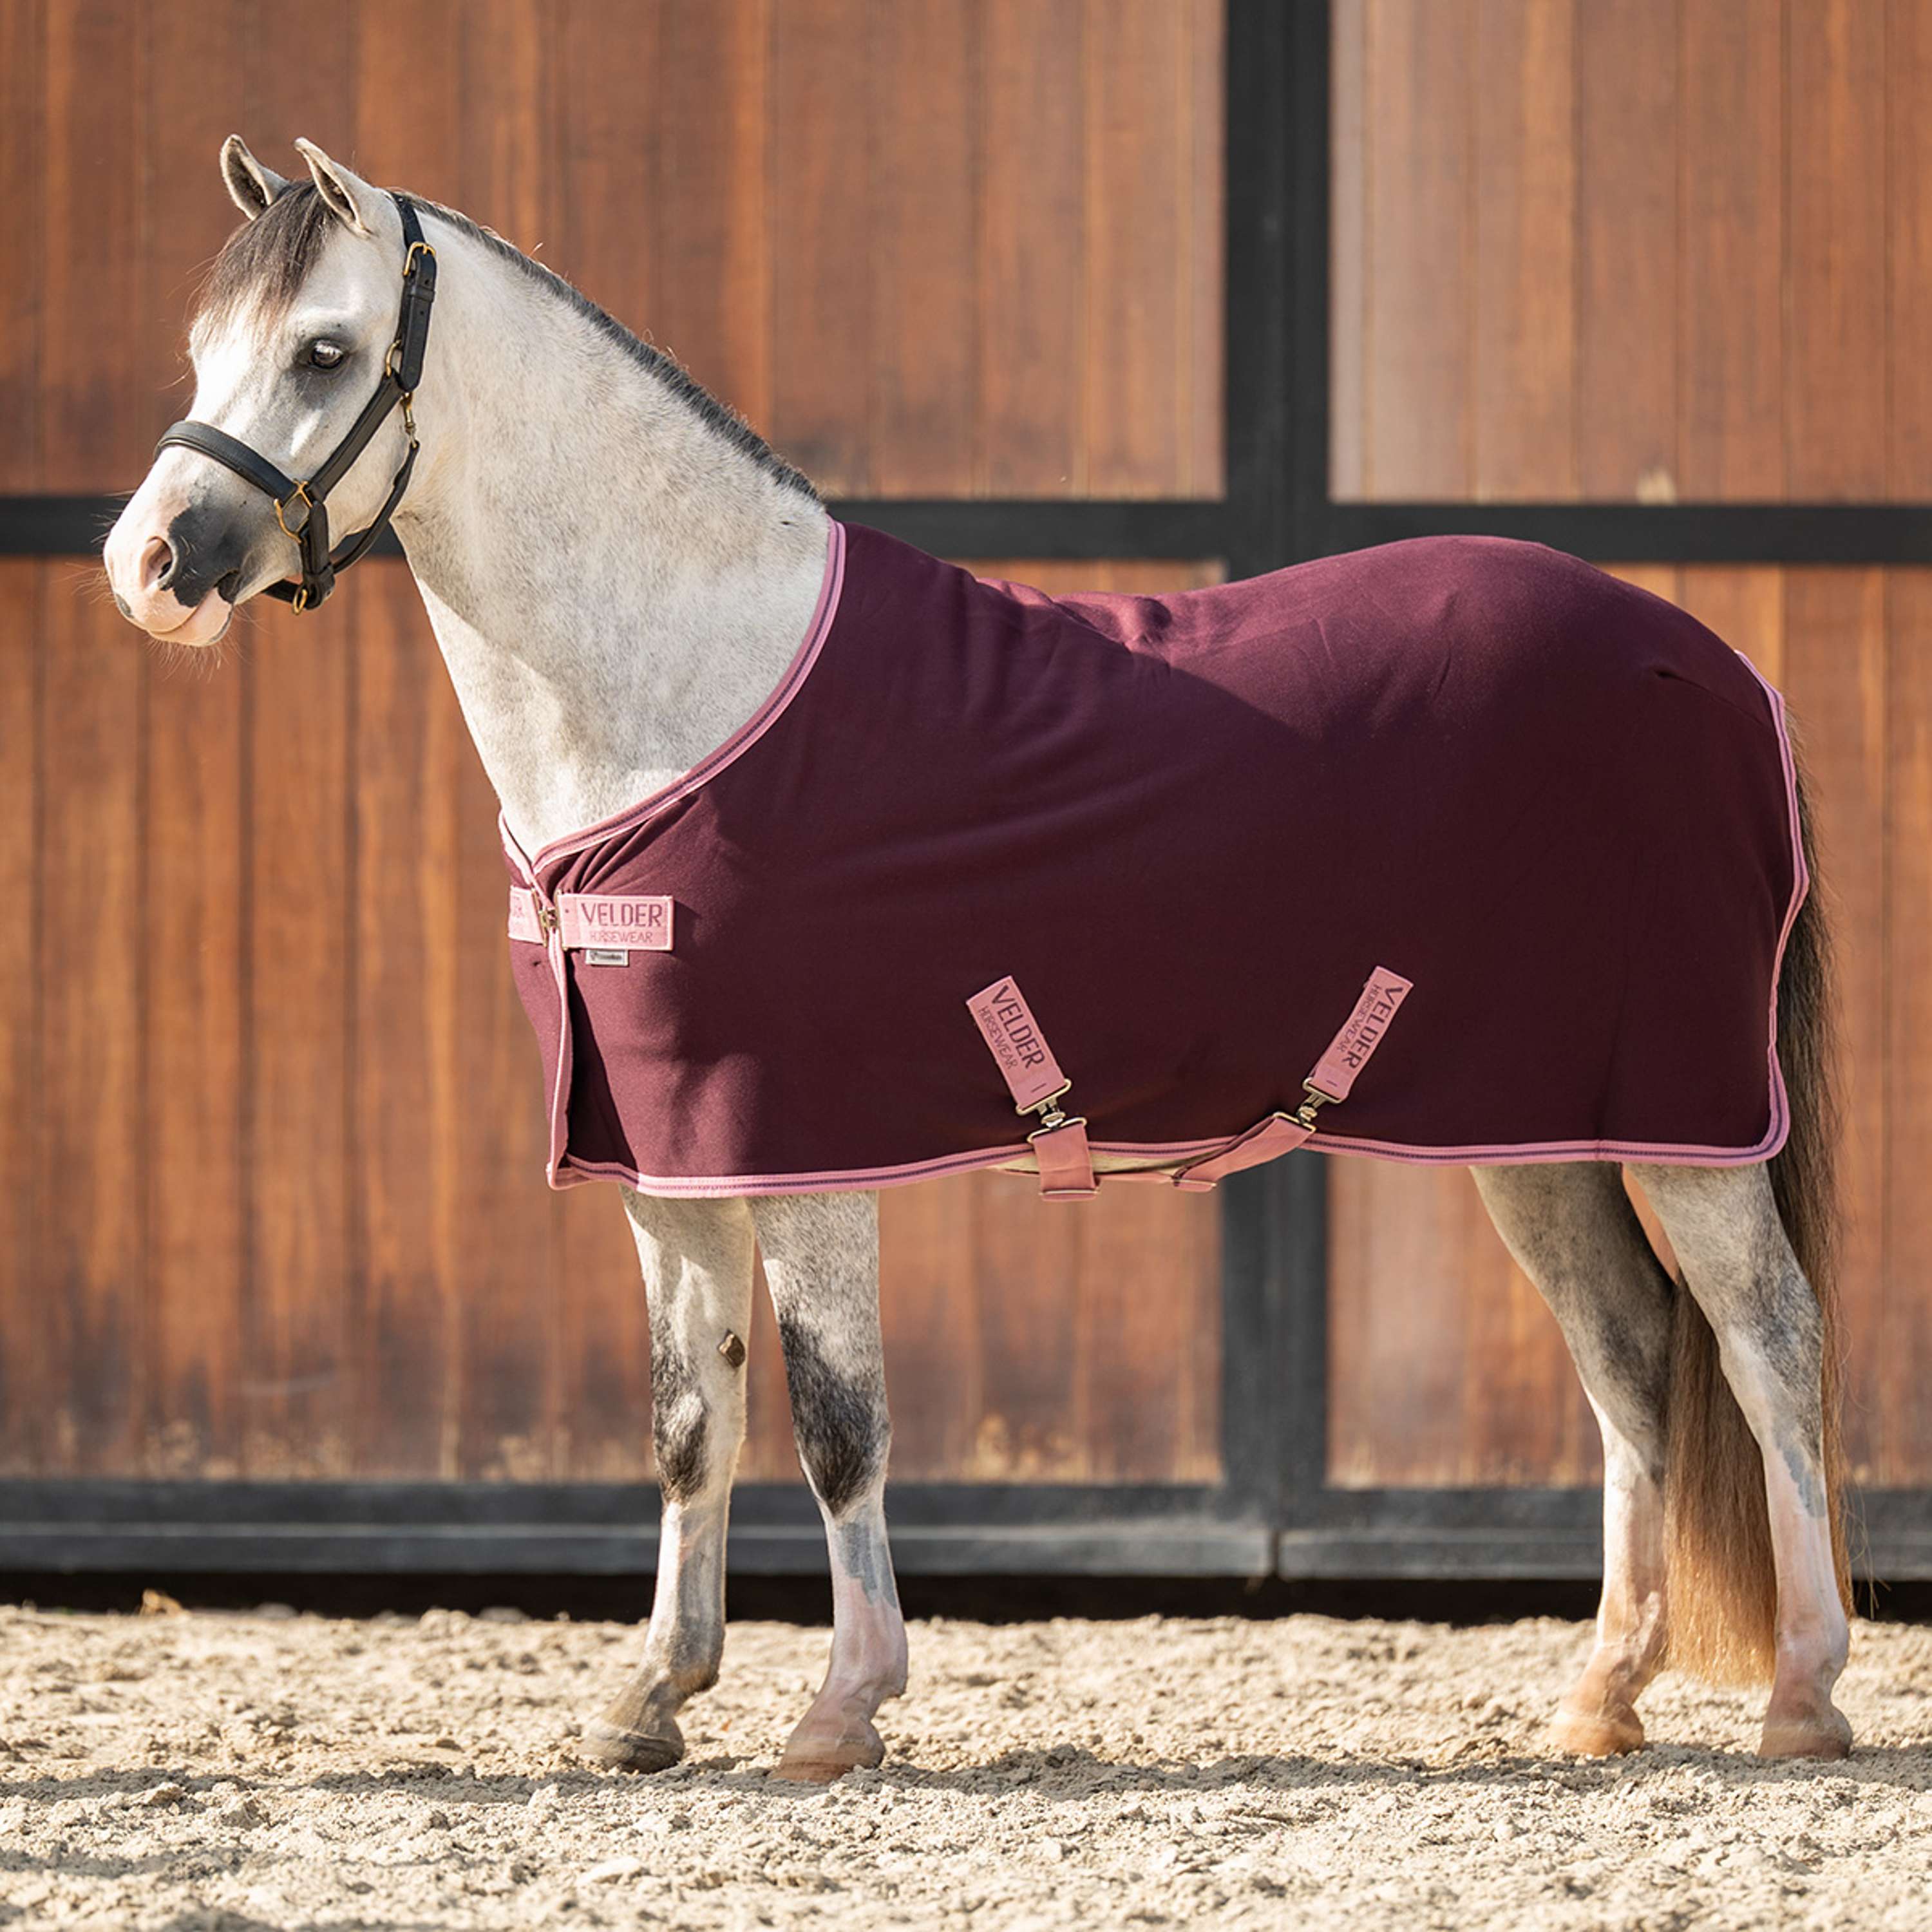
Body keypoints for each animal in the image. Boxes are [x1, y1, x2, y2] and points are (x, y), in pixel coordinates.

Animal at [103, 137, 1854, 1781]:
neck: (691, 695)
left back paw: (1803, 1694)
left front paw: (839, 1710)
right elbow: (688, 1421)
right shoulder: (665, 1163)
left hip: (1685, 1118)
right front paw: (650, 1699)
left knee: (1767, 1340)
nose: (148, 568)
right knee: (1630, 1357)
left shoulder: (803, 1153)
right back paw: (1601, 1695)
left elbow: (835, 1424)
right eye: (196, 347)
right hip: (1532, 1130)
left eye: (324, 351)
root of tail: (1717, 667)